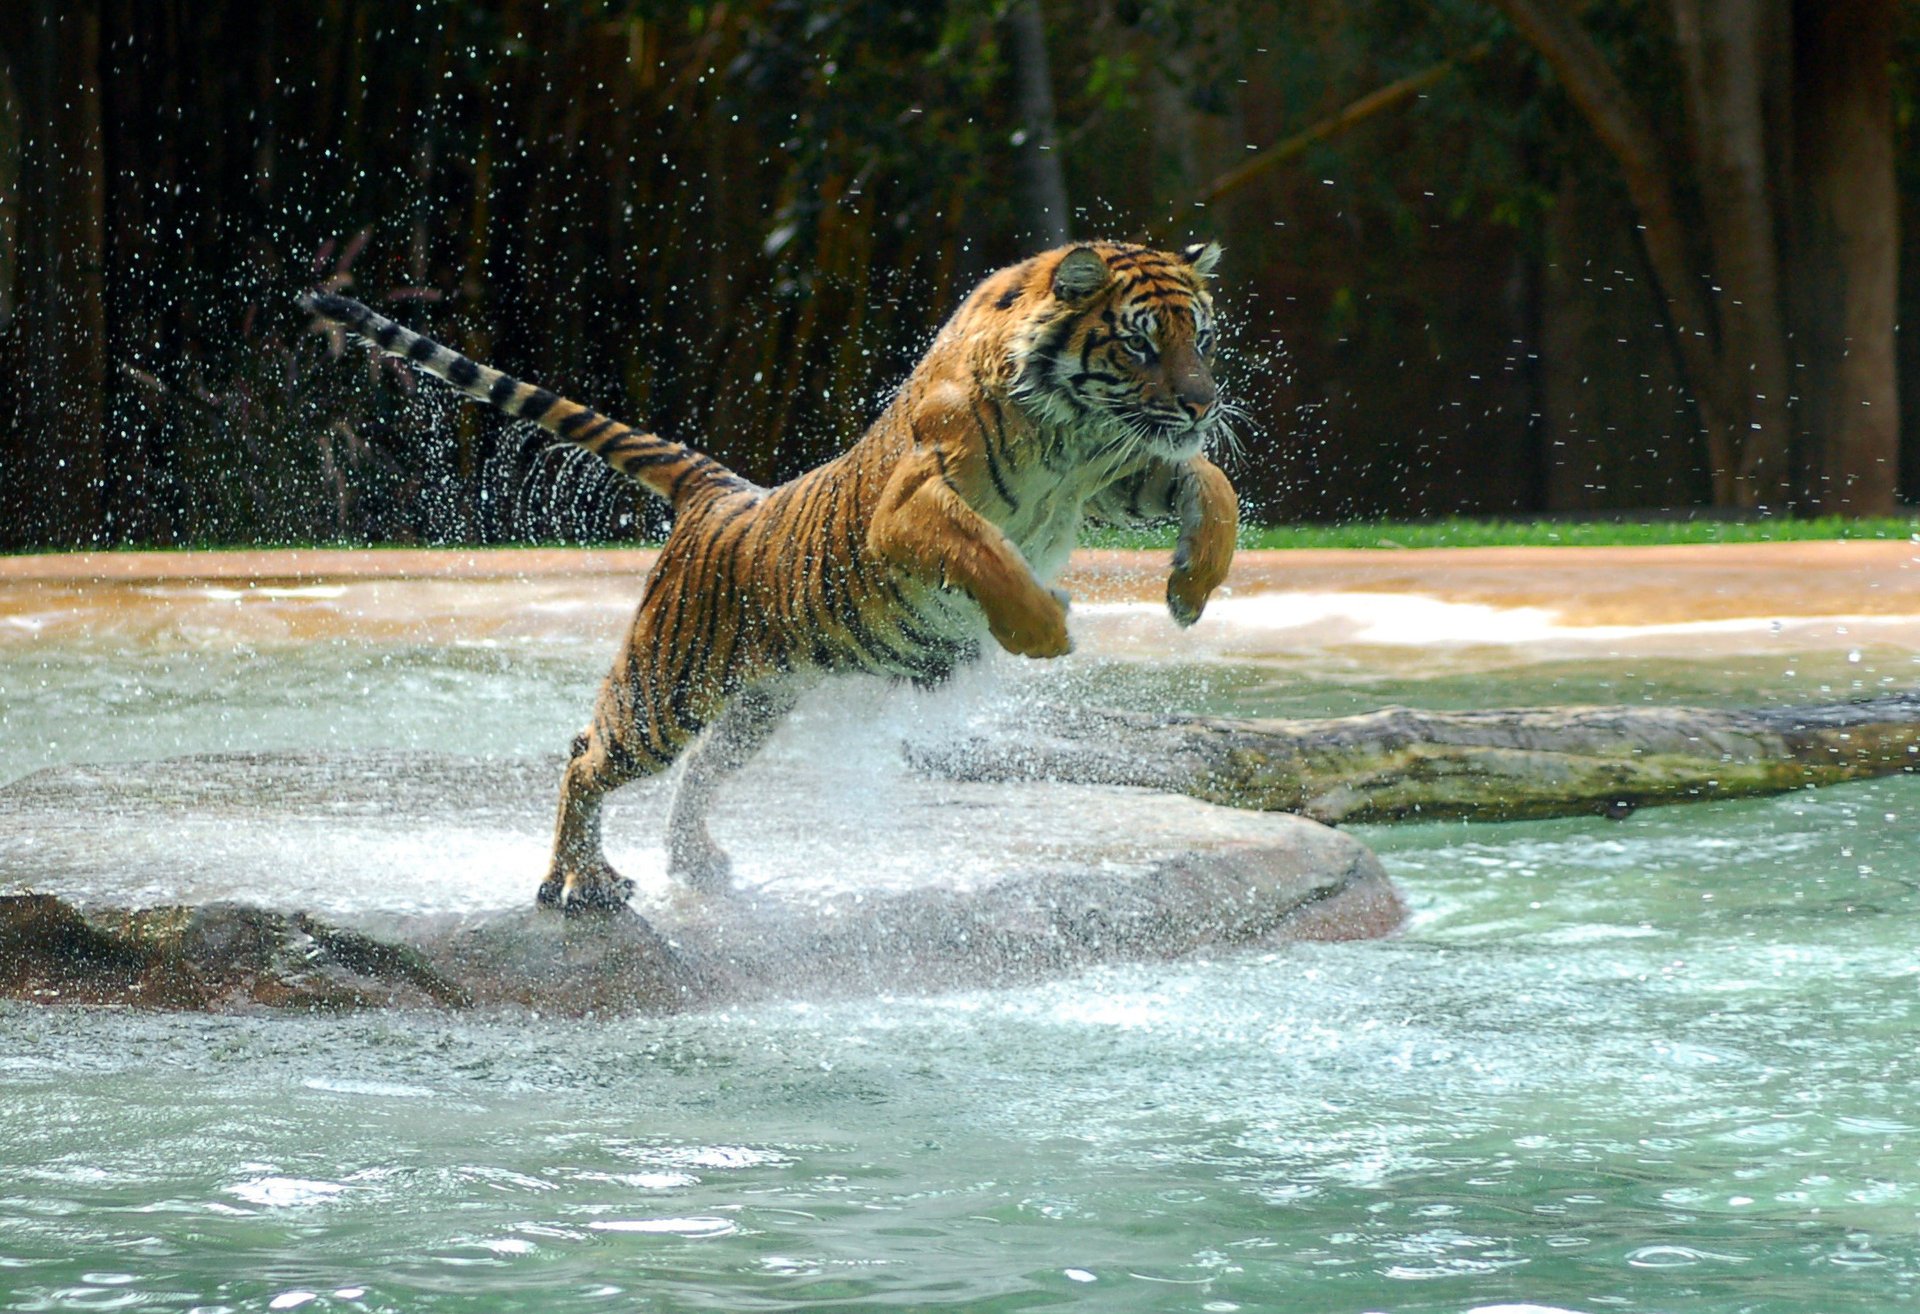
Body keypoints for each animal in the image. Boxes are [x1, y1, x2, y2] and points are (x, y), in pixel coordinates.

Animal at [302, 240, 1239, 917]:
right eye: (1139, 341)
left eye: (1199, 336)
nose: (1203, 403)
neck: (1072, 433)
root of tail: (720, 493)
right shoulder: (911, 507)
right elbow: (986, 553)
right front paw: (1045, 627)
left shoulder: (1120, 473)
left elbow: (1212, 485)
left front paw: (1190, 589)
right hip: (667, 689)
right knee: (586, 755)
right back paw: (580, 885)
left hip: (757, 700)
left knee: (698, 774)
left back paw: (696, 866)